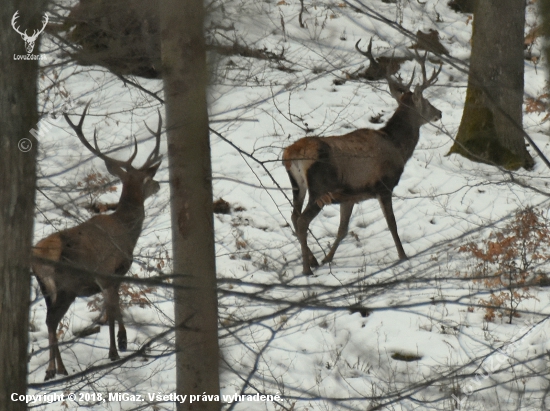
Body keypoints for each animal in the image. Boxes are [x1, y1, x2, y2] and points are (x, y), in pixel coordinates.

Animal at [31, 104, 162, 384]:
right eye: (147, 178)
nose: (158, 184)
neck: (126, 231)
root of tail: (41, 254)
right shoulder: (109, 270)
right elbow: (112, 308)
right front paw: (118, 346)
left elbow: (112, 306)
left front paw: (119, 344)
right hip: (67, 284)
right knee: (51, 320)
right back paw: (53, 369)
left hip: (46, 287)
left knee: (51, 321)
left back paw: (57, 368)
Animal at [284, 52, 444, 276]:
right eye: (427, 102)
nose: (439, 112)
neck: (397, 147)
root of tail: (292, 154)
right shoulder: (384, 185)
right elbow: (392, 224)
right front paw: (403, 256)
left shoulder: (349, 196)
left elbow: (342, 230)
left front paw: (327, 259)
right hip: (320, 188)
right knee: (302, 220)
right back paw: (307, 269)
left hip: (298, 185)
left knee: (293, 215)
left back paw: (313, 260)